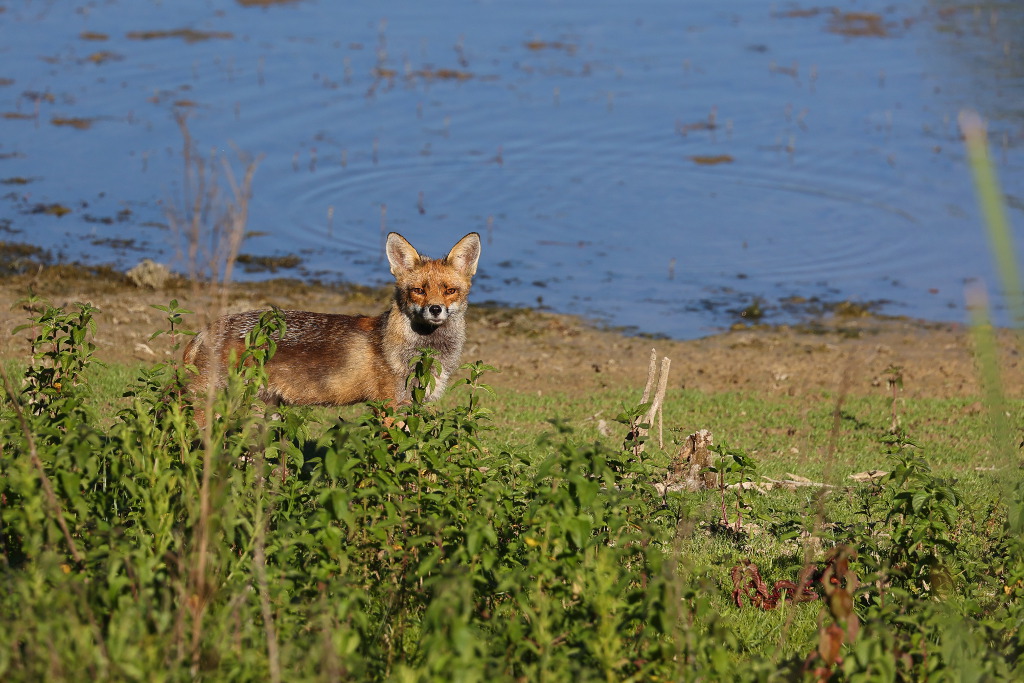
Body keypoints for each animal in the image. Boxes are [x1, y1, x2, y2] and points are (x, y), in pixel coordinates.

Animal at [183, 231, 481, 423]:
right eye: (419, 290)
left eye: (450, 291)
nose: (435, 309)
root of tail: (204, 331)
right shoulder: (389, 406)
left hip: (265, 410)